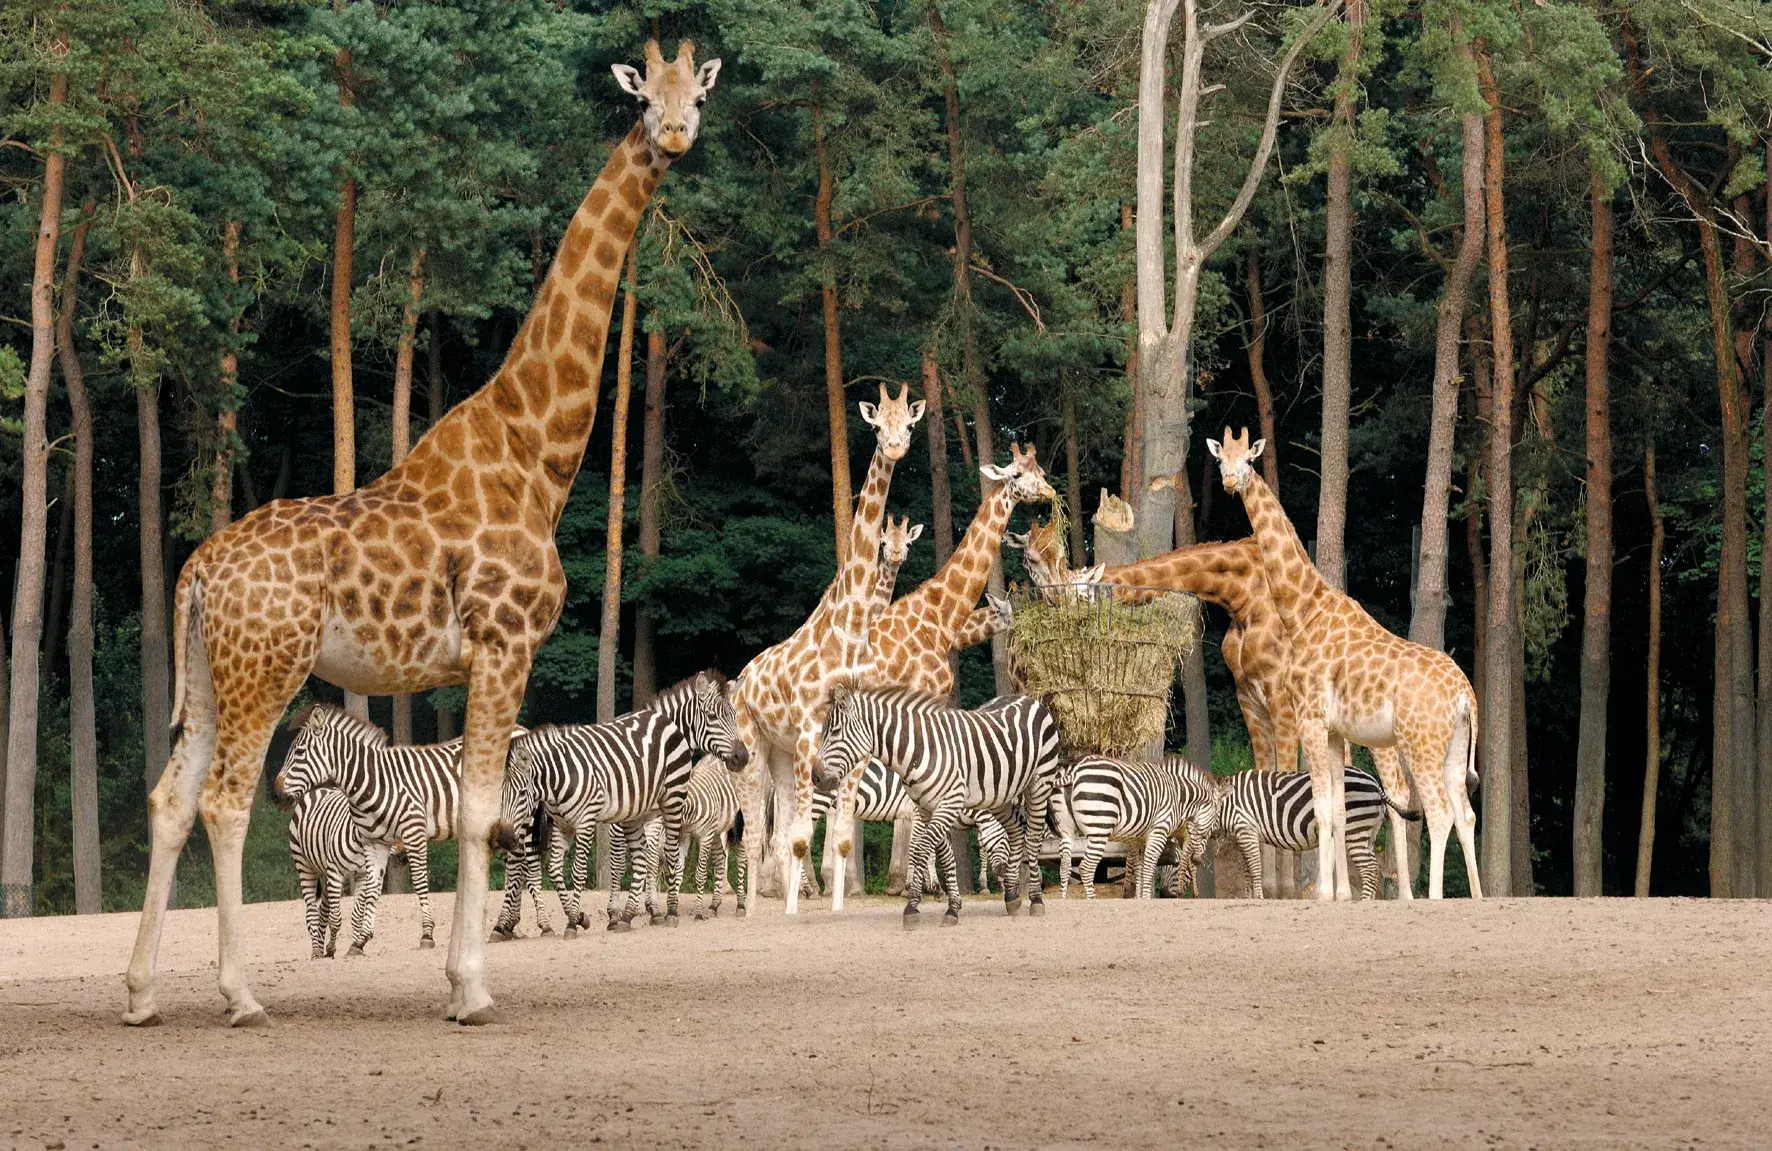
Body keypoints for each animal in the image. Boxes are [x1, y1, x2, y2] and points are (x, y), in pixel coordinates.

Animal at [286, 787, 386, 958]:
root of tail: (319, 789)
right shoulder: (336, 872)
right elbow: (335, 920)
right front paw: (331, 948)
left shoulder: (362, 875)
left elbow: (356, 916)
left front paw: (355, 947)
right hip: (304, 866)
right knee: (311, 914)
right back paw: (316, 953)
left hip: (326, 874)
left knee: (322, 911)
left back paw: (320, 949)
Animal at [500, 669, 747, 933]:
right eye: (712, 716)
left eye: (734, 716)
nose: (742, 757)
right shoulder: (617, 819)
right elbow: (620, 863)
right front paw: (612, 914)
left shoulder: (642, 817)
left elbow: (644, 860)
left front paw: (642, 910)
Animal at [817, 686, 1060, 926]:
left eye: (835, 731)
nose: (815, 777)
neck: (919, 751)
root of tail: (1027, 698)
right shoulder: (927, 808)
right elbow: (942, 856)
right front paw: (946, 905)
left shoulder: (943, 805)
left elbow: (921, 850)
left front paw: (917, 903)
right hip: (999, 795)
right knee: (1017, 829)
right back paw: (1011, 896)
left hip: (1039, 782)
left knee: (1032, 837)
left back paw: (1035, 899)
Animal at [1051, 755, 1216, 899]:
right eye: (1212, 826)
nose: (1197, 860)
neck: (1178, 797)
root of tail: (1075, 769)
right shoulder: (1158, 832)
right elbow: (1148, 867)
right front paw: (1144, 898)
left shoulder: (1137, 839)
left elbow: (1139, 868)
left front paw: (1138, 898)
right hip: (1100, 828)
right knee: (1086, 867)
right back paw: (1093, 900)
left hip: (1066, 831)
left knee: (1064, 866)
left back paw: (1064, 900)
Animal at [1178, 767, 1421, 900]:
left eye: (1190, 830)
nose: (1181, 893)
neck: (1225, 805)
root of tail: (1373, 782)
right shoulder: (1244, 835)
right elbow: (1247, 871)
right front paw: (1248, 898)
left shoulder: (1246, 828)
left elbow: (1254, 868)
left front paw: (1258, 898)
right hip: (1368, 833)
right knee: (1373, 867)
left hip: (1355, 830)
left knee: (1370, 868)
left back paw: (1363, 902)